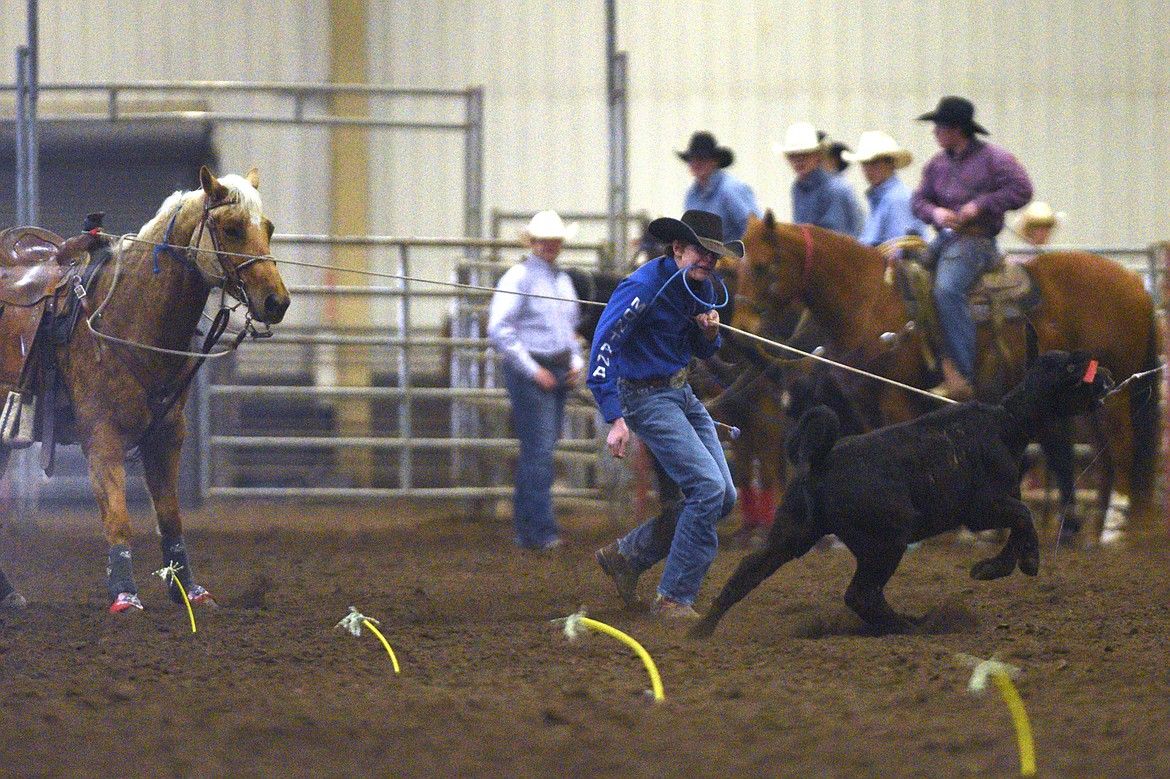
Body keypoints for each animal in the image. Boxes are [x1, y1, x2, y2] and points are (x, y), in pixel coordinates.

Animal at [0, 167, 290, 608]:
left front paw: (188, 588)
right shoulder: (101, 437)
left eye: (268, 228)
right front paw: (124, 593)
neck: (125, 316)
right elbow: (118, 519)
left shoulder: (167, 434)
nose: (277, 301)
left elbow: (170, 518)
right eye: (232, 228)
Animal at [734, 212, 1155, 540]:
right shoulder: (866, 402)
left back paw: (1113, 527)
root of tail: (1135, 282)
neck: (868, 301)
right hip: (1090, 397)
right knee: (1101, 456)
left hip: (1116, 391)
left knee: (1121, 445)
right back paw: (1090, 526)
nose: (740, 324)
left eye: (761, 265)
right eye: (738, 265)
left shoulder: (897, 400)